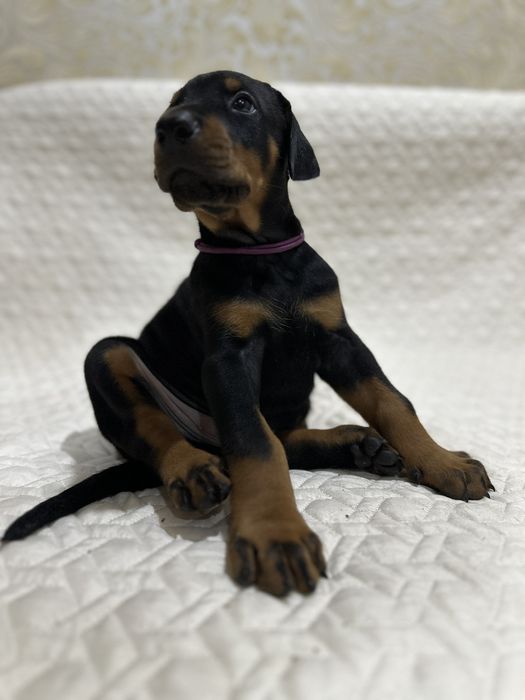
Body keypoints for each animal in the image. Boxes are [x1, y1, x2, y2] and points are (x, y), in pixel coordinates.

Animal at [3, 71, 494, 596]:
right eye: (174, 102)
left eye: (242, 103)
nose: (169, 126)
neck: (262, 254)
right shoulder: (229, 359)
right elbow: (255, 443)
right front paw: (275, 536)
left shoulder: (338, 339)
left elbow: (392, 401)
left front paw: (444, 462)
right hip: (108, 357)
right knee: (166, 430)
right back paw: (194, 470)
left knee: (284, 436)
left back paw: (359, 445)